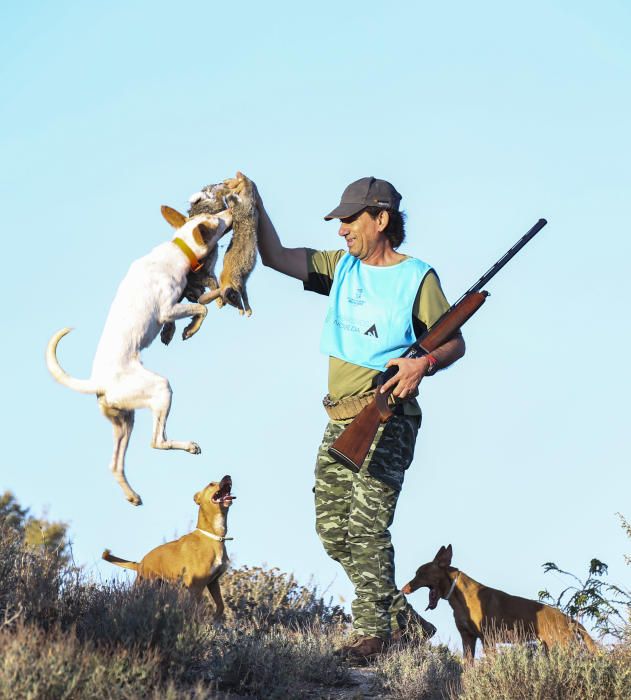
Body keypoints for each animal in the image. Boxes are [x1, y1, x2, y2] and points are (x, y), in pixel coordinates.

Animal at [47, 205, 233, 506]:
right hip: (160, 388)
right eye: (216, 220)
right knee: (157, 441)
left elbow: (204, 302)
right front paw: (190, 329)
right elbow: (201, 309)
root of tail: (98, 382)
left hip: (125, 421)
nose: (231, 207)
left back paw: (132, 495)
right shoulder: (168, 309)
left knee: (115, 464)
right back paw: (188, 446)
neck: (177, 249)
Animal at [104, 476, 237, 616]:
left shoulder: (213, 582)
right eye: (211, 484)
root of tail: (140, 564)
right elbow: (196, 608)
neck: (214, 537)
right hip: (143, 585)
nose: (227, 476)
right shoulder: (195, 586)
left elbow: (220, 606)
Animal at [400, 544, 596, 660]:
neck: (459, 598)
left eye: (420, 573)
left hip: (562, 647)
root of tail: (569, 620)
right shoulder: (468, 638)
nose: (404, 589)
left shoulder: (488, 639)